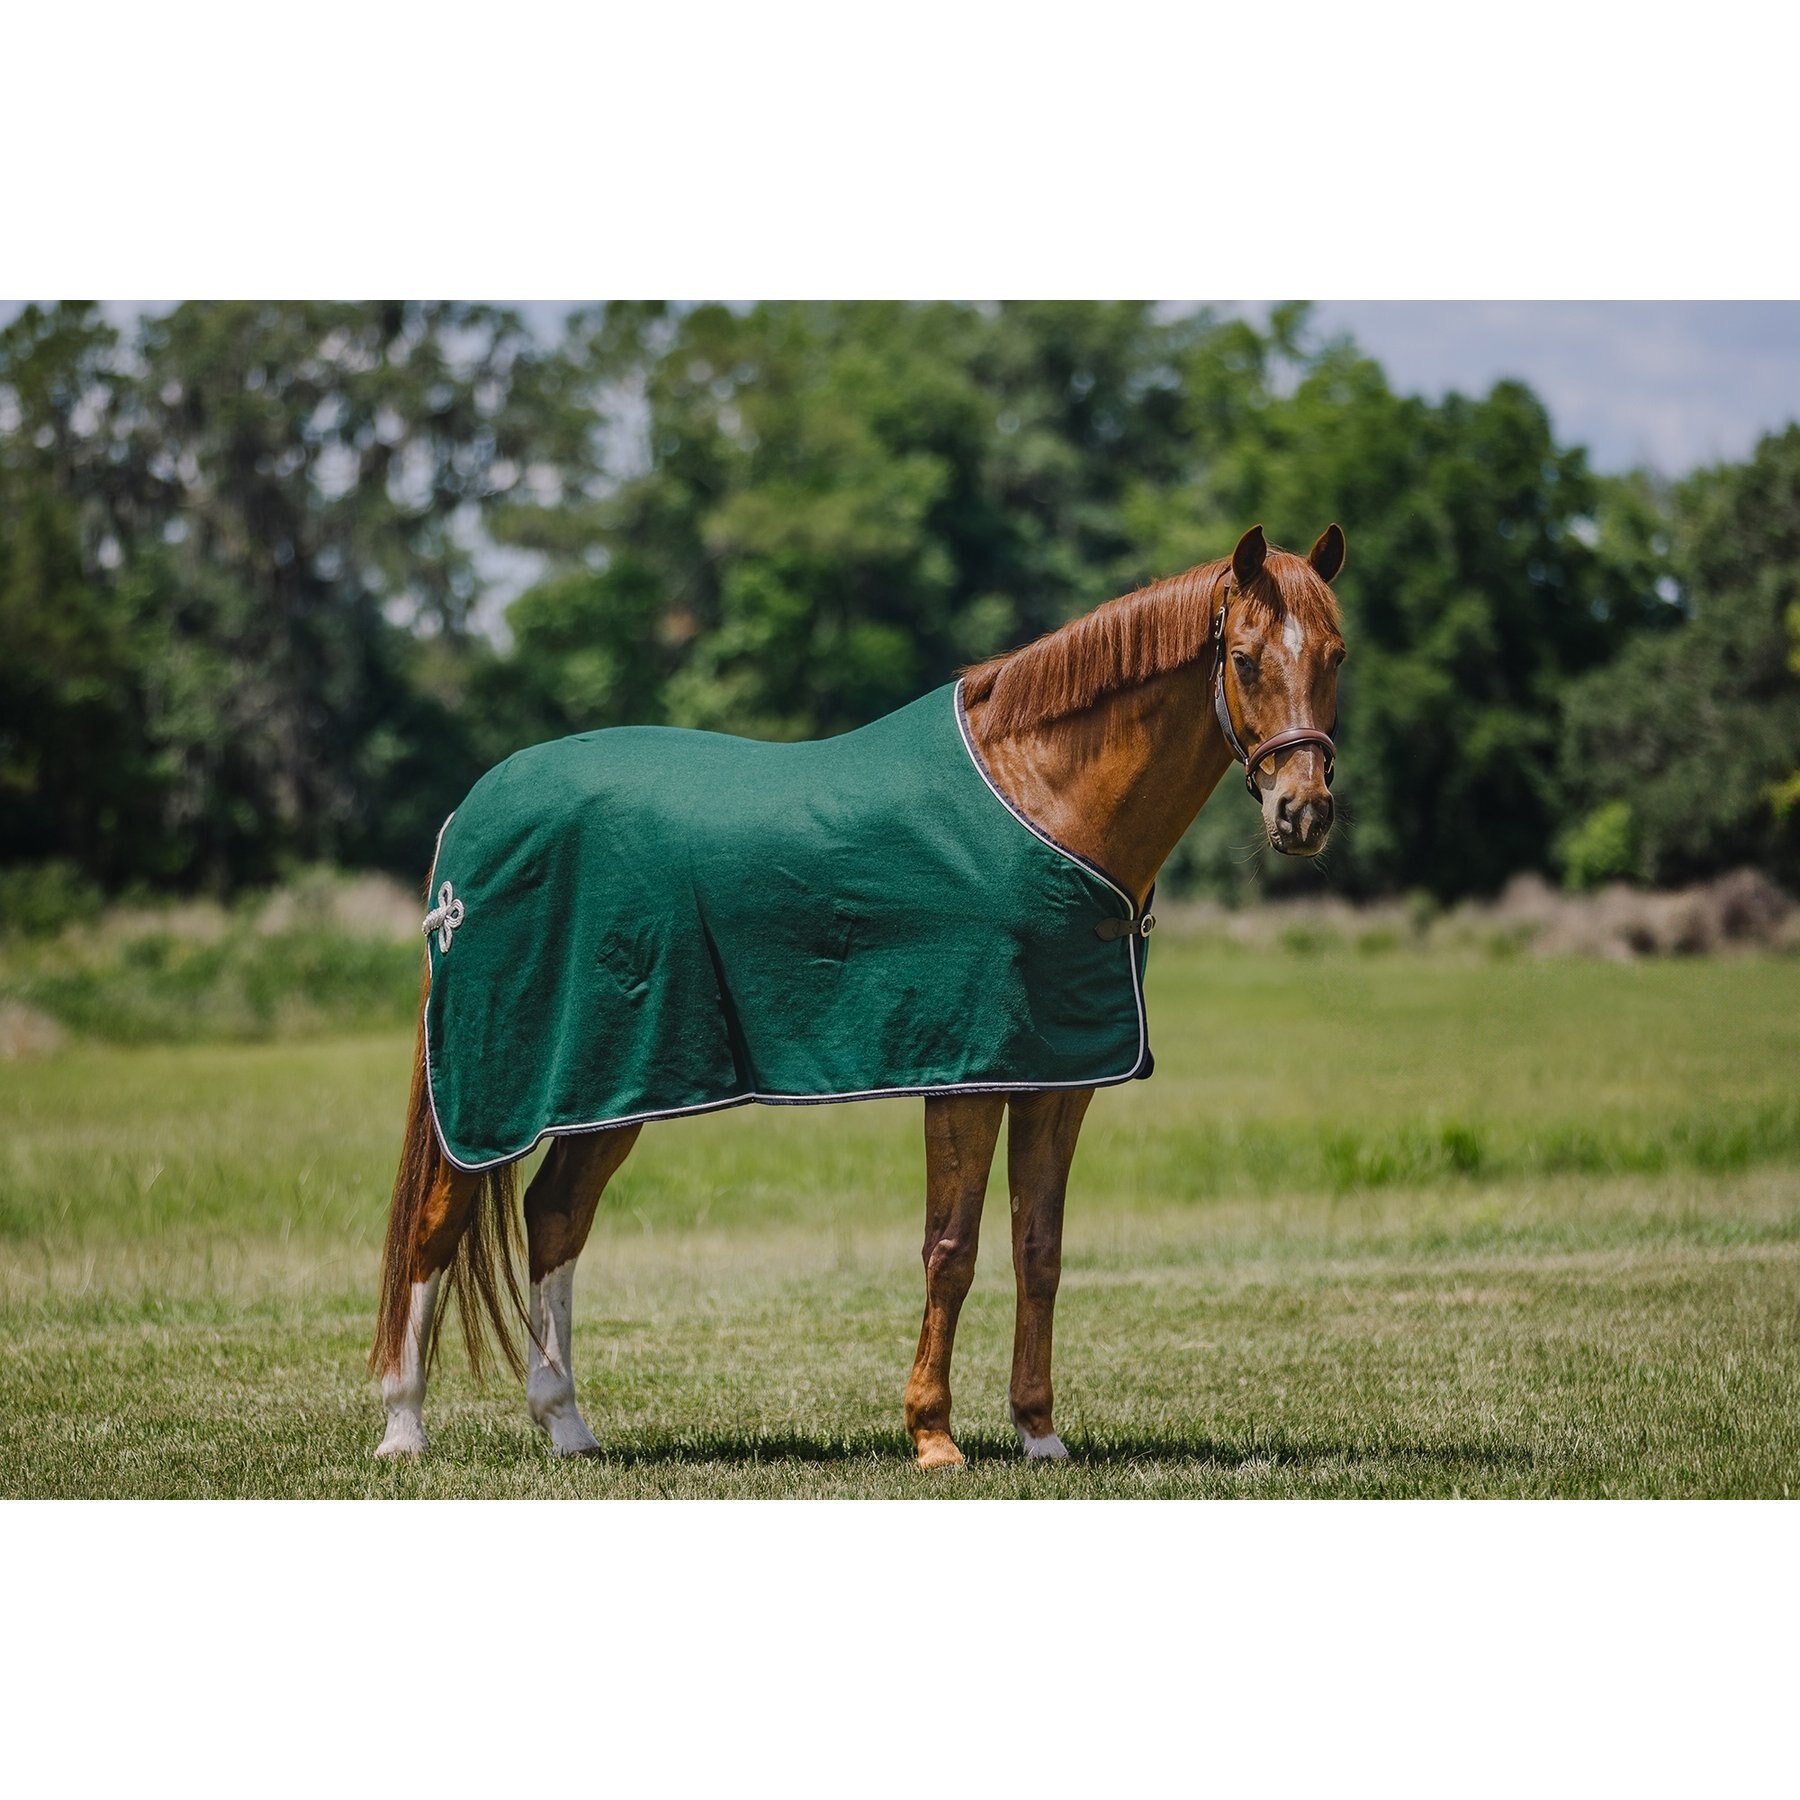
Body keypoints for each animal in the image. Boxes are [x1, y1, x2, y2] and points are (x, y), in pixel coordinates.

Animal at [370, 521, 1347, 1468]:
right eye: (1245, 658)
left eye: (1336, 655)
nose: (1302, 812)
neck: (1042, 799)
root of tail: (468, 820)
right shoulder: (967, 1070)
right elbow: (952, 1249)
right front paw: (933, 1435)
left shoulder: (1056, 1079)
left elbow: (1041, 1249)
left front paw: (1039, 1433)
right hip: (498, 1086)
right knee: (436, 1222)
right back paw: (403, 1428)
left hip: (613, 1082)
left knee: (556, 1216)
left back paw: (567, 1425)